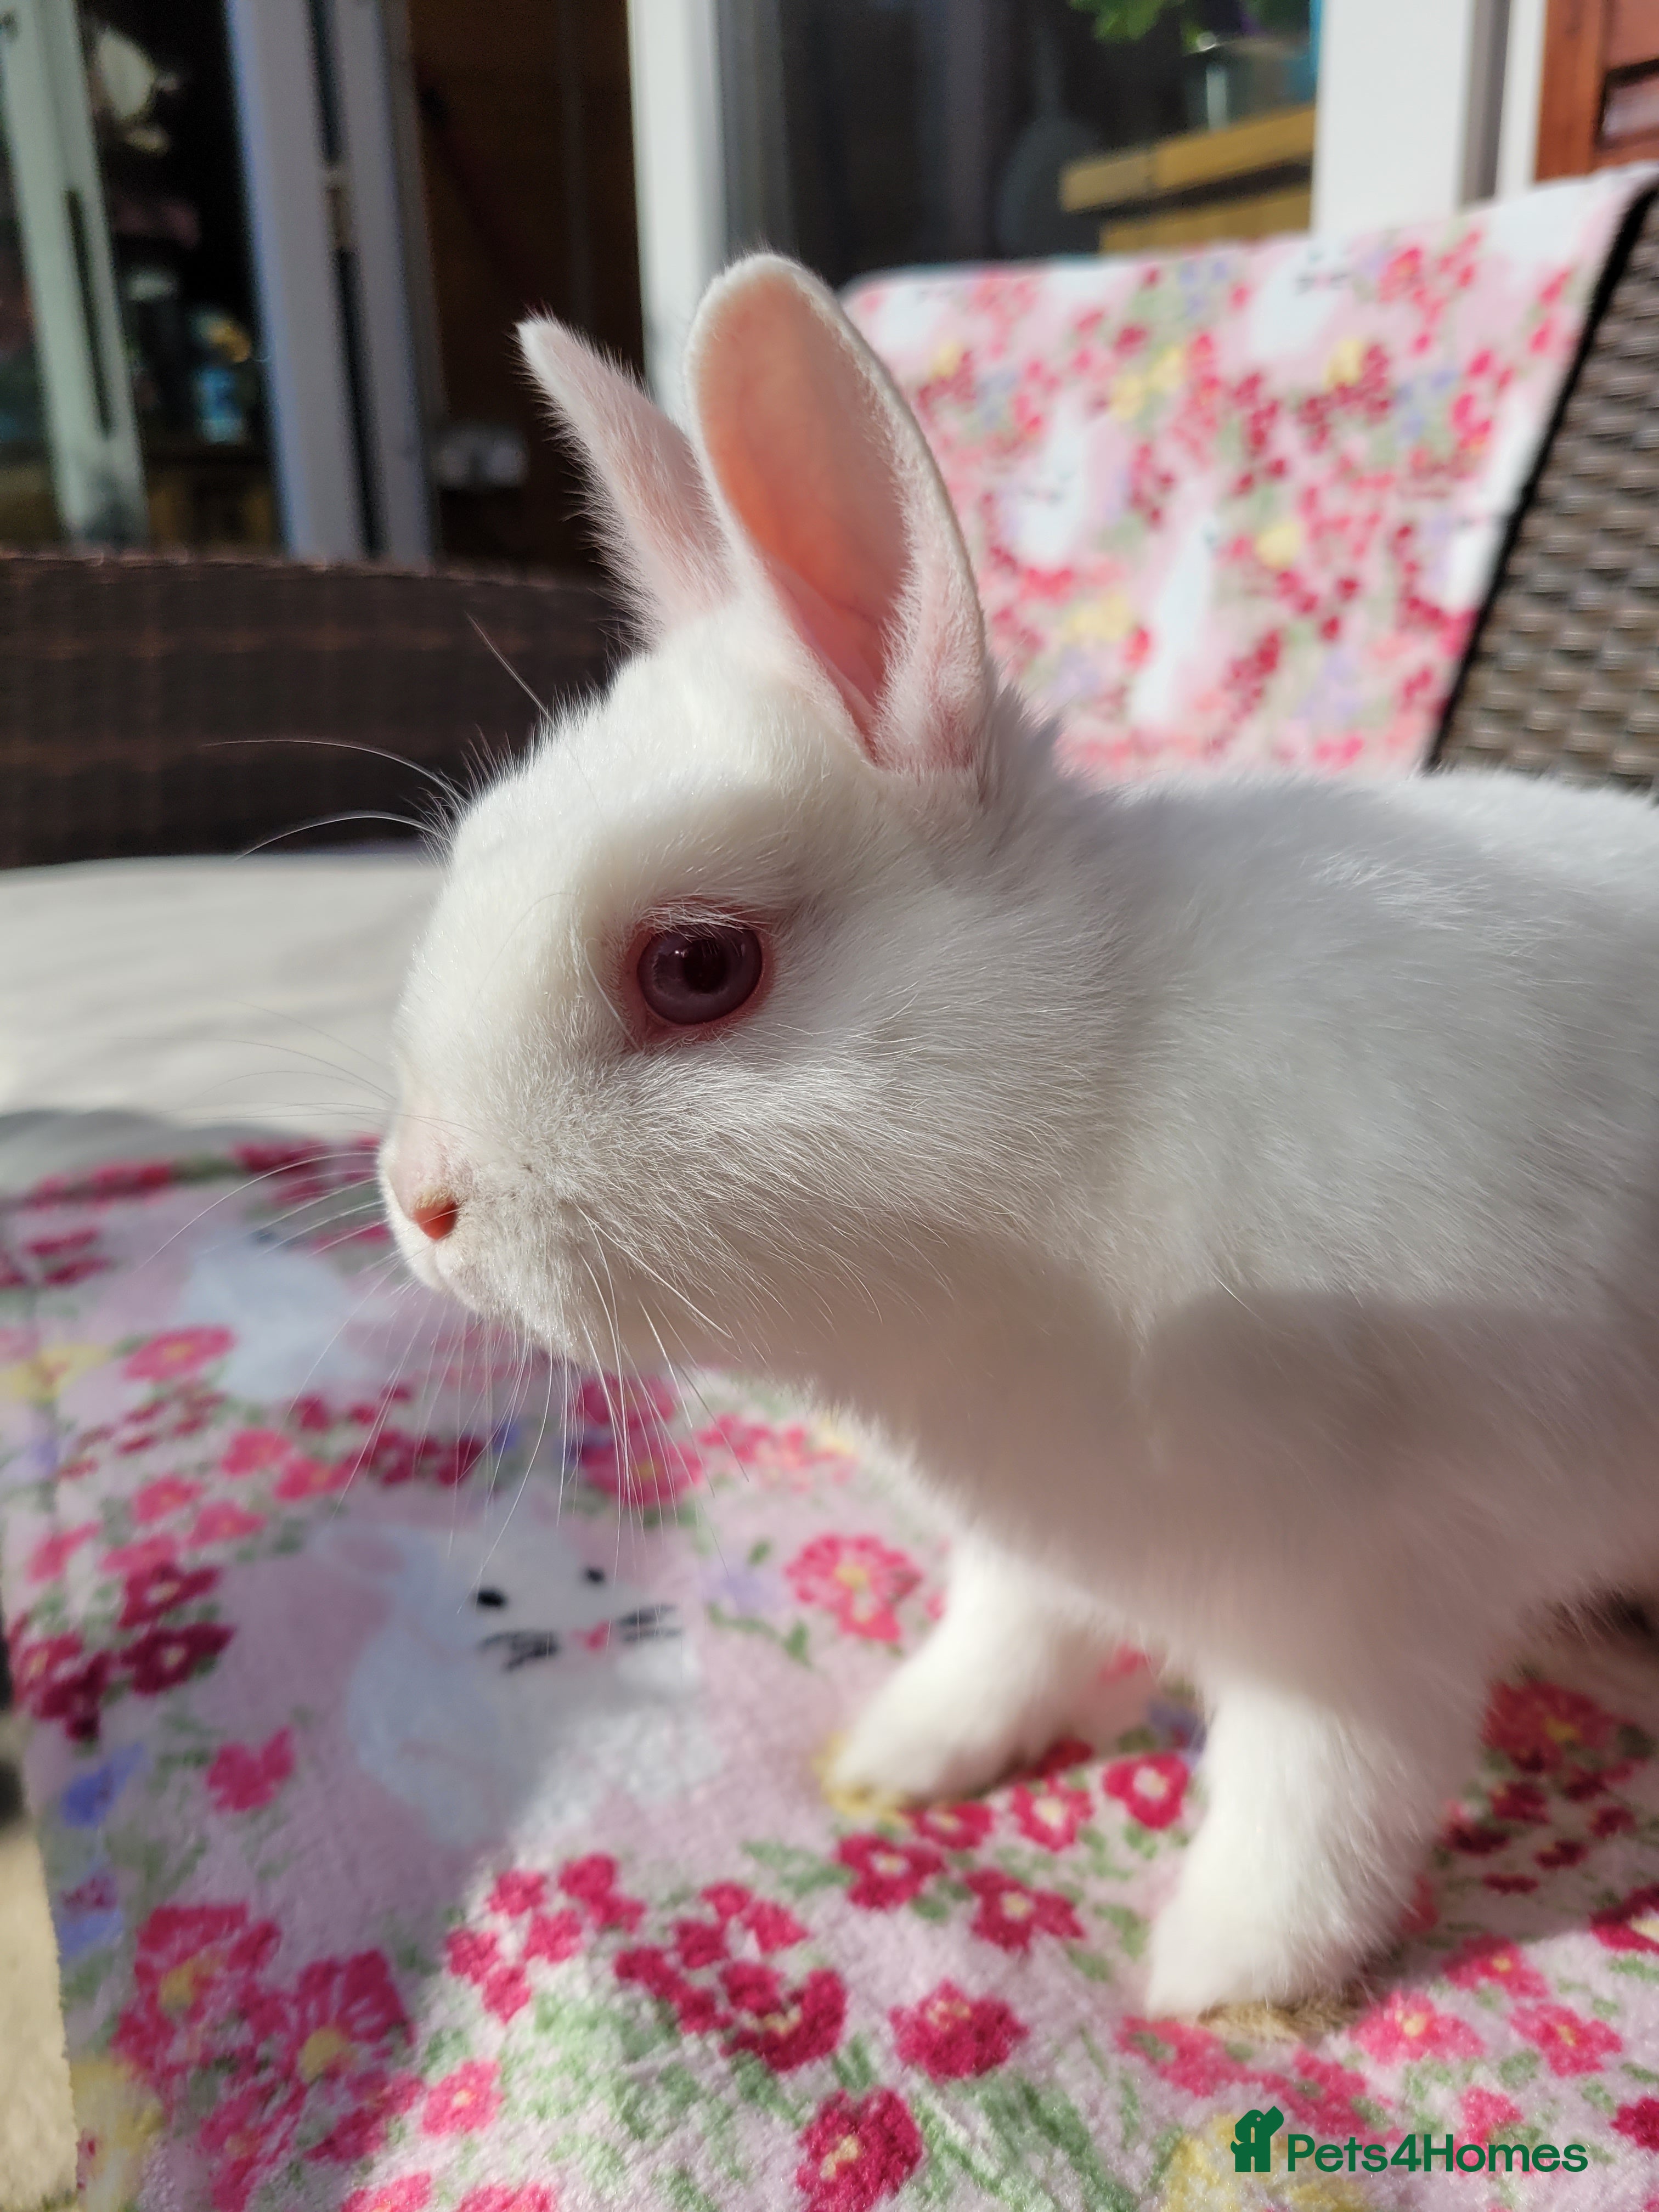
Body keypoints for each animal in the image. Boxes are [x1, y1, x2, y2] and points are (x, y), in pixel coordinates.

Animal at [379, 250, 1659, 2015]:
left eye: (698, 968)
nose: (417, 1205)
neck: (1081, 1125)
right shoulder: (1034, 1542)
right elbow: (1002, 1646)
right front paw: (900, 1757)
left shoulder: (1358, 1615)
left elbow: (1319, 1803)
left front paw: (1217, 1980)